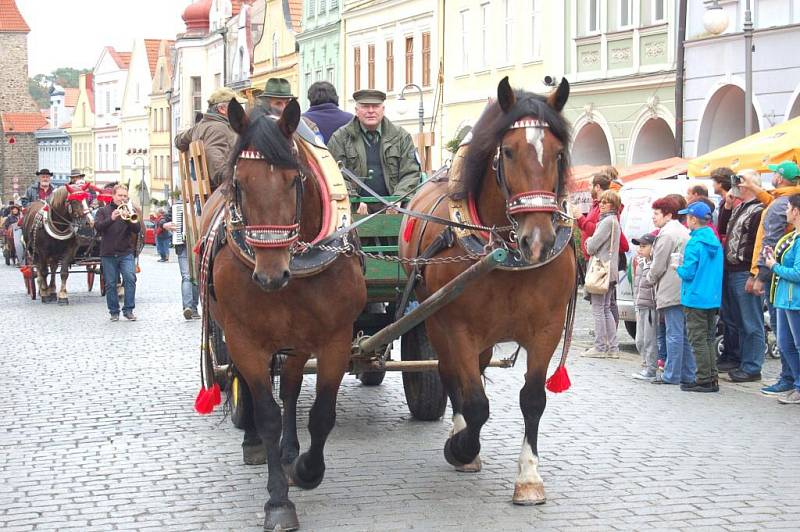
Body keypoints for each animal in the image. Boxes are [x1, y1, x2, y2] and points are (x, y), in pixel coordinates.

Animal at [198, 98, 366, 528]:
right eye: (238, 183)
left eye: (295, 181)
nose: (270, 276)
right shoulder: (246, 340)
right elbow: (267, 413)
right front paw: (278, 501)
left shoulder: (334, 339)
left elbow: (321, 413)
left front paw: (306, 469)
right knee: (248, 388)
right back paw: (254, 443)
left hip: (298, 342)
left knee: (290, 386)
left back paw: (291, 452)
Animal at [398, 77, 576, 504]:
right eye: (508, 151)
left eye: (558, 153)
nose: (538, 240)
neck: (504, 256)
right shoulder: (458, 328)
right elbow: (476, 402)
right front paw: (461, 447)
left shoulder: (546, 330)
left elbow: (533, 398)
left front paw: (529, 477)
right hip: (435, 322)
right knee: (451, 376)